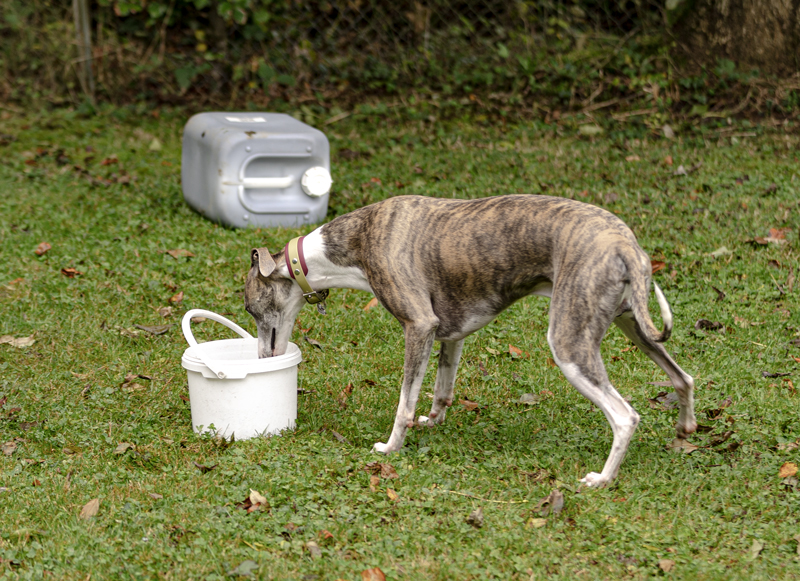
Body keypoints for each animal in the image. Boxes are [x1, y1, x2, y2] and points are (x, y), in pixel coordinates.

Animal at [245, 194, 696, 487]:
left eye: (249, 307)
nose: (262, 358)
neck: (357, 238)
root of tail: (625, 243)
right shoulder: (450, 332)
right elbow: (441, 390)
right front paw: (432, 421)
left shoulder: (419, 325)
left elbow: (404, 402)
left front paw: (391, 447)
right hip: (632, 324)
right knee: (684, 377)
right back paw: (684, 431)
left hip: (570, 344)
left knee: (625, 416)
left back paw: (602, 478)